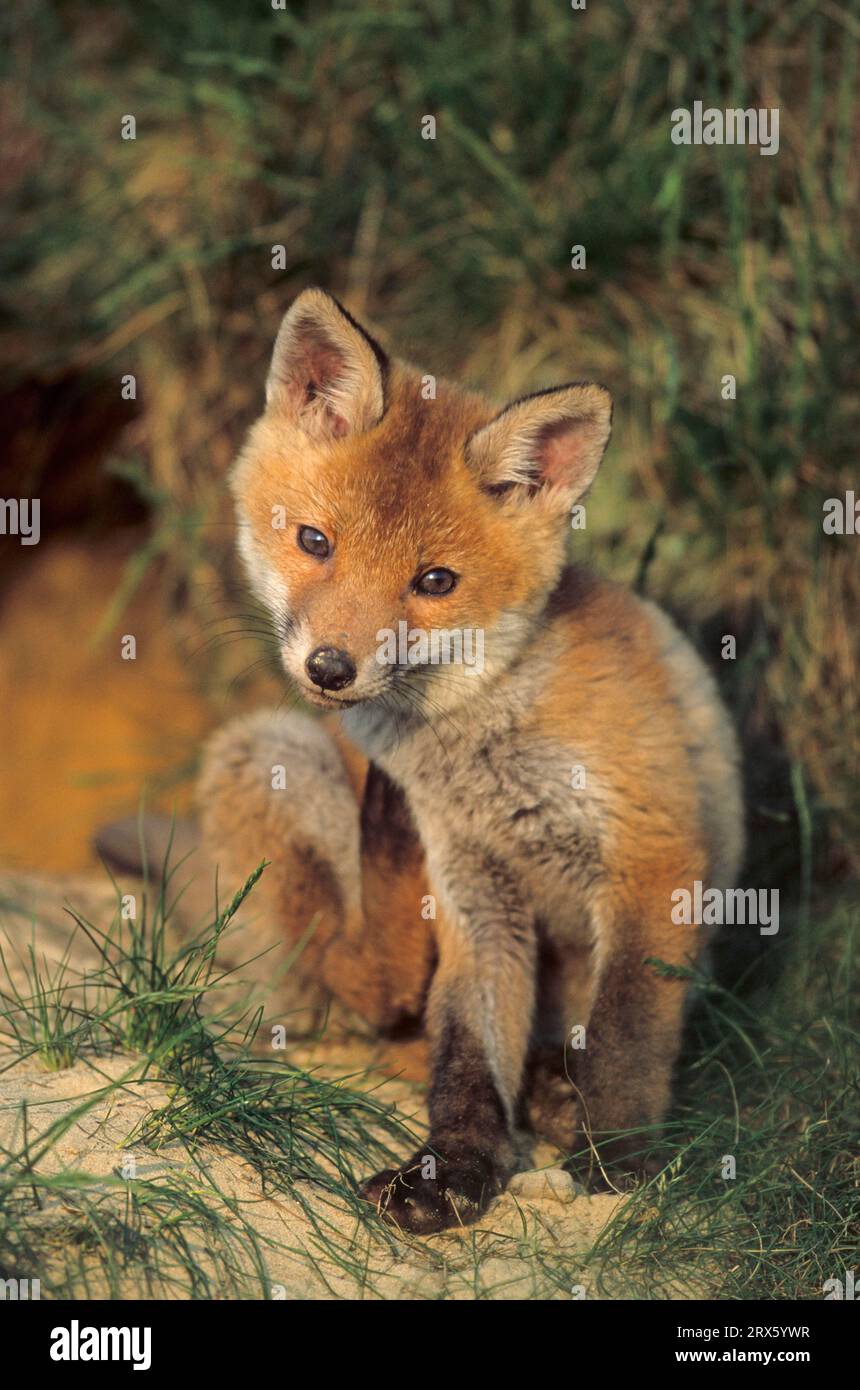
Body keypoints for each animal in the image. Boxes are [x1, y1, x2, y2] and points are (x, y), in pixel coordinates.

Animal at [98, 288, 744, 1234]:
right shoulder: (473, 889)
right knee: (358, 999)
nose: (330, 668)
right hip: (270, 753)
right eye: (315, 542)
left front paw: (617, 1161)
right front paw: (455, 1169)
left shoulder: (654, 854)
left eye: (435, 582)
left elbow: (627, 1036)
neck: (486, 747)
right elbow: (466, 1053)